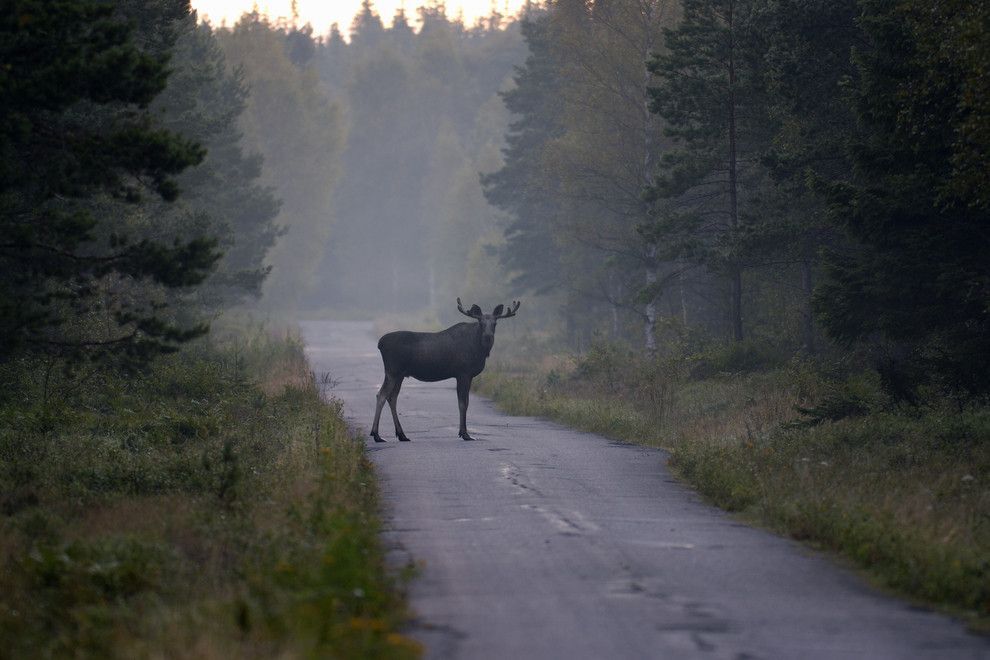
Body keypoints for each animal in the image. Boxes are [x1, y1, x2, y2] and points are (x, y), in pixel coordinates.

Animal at [370, 298, 521, 442]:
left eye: (495, 323)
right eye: (481, 323)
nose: (488, 336)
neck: (479, 350)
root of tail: (379, 344)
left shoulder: (467, 375)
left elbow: (465, 403)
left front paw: (463, 432)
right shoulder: (463, 373)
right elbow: (463, 403)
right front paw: (465, 434)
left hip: (400, 374)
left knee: (392, 397)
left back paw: (401, 435)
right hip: (392, 371)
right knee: (381, 395)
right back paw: (376, 435)